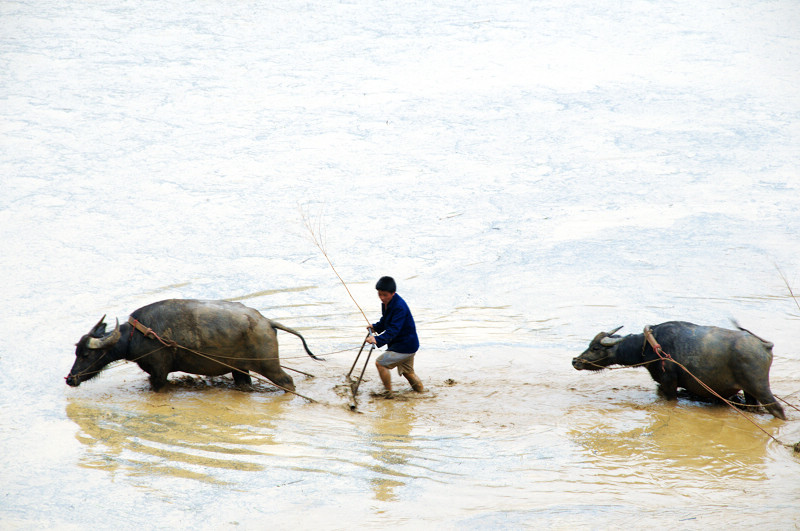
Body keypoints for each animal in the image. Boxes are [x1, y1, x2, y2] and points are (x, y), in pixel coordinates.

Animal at [66, 300, 322, 394]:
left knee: (287, 381)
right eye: (76, 352)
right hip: (240, 370)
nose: (70, 379)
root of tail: (267, 322)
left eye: (86, 353)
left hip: (269, 366)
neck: (136, 335)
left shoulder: (159, 372)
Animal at [568, 320, 788, 420]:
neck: (649, 346)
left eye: (595, 348)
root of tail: (763, 346)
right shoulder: (661, 385)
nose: (575, 361)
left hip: (759, 387)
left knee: (777, 408)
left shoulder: (669, 383)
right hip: (749, 392)